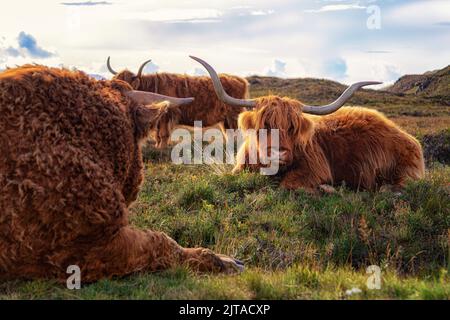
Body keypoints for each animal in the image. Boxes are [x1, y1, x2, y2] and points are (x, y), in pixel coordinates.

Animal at [108, 57, 250, 148]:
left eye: (128, 85)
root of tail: (240, 80)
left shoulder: (167, 114)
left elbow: (163, 134)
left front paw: (162, 149)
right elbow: (158, 135)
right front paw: (158, 146)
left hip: (233, 114)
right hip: (224, 119)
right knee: (229, 132)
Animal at [192, 56, 426, 192]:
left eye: (292, 127)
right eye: (264, 125)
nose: (277, 153)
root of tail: (408, 137)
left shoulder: (315, 168)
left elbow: (288, 184)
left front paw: (327, 189)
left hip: (404, 170)